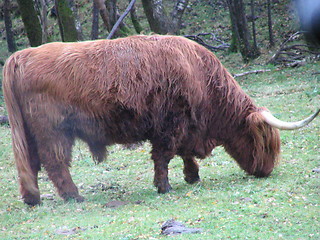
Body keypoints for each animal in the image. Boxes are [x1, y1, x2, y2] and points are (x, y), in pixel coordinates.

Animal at [3, 34, 320, 205]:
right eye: (265, 141)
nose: (266, 171)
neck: (202, 77)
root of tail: (22, 55)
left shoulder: (184, 127)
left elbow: (182, 153)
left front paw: (192, 176)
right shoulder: (170, 125)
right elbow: (164, 155)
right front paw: (164, 186)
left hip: (30, 134)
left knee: (30, 164)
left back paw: (33, 198)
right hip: (55, 133)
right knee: (55, 162)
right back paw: (74, 196)